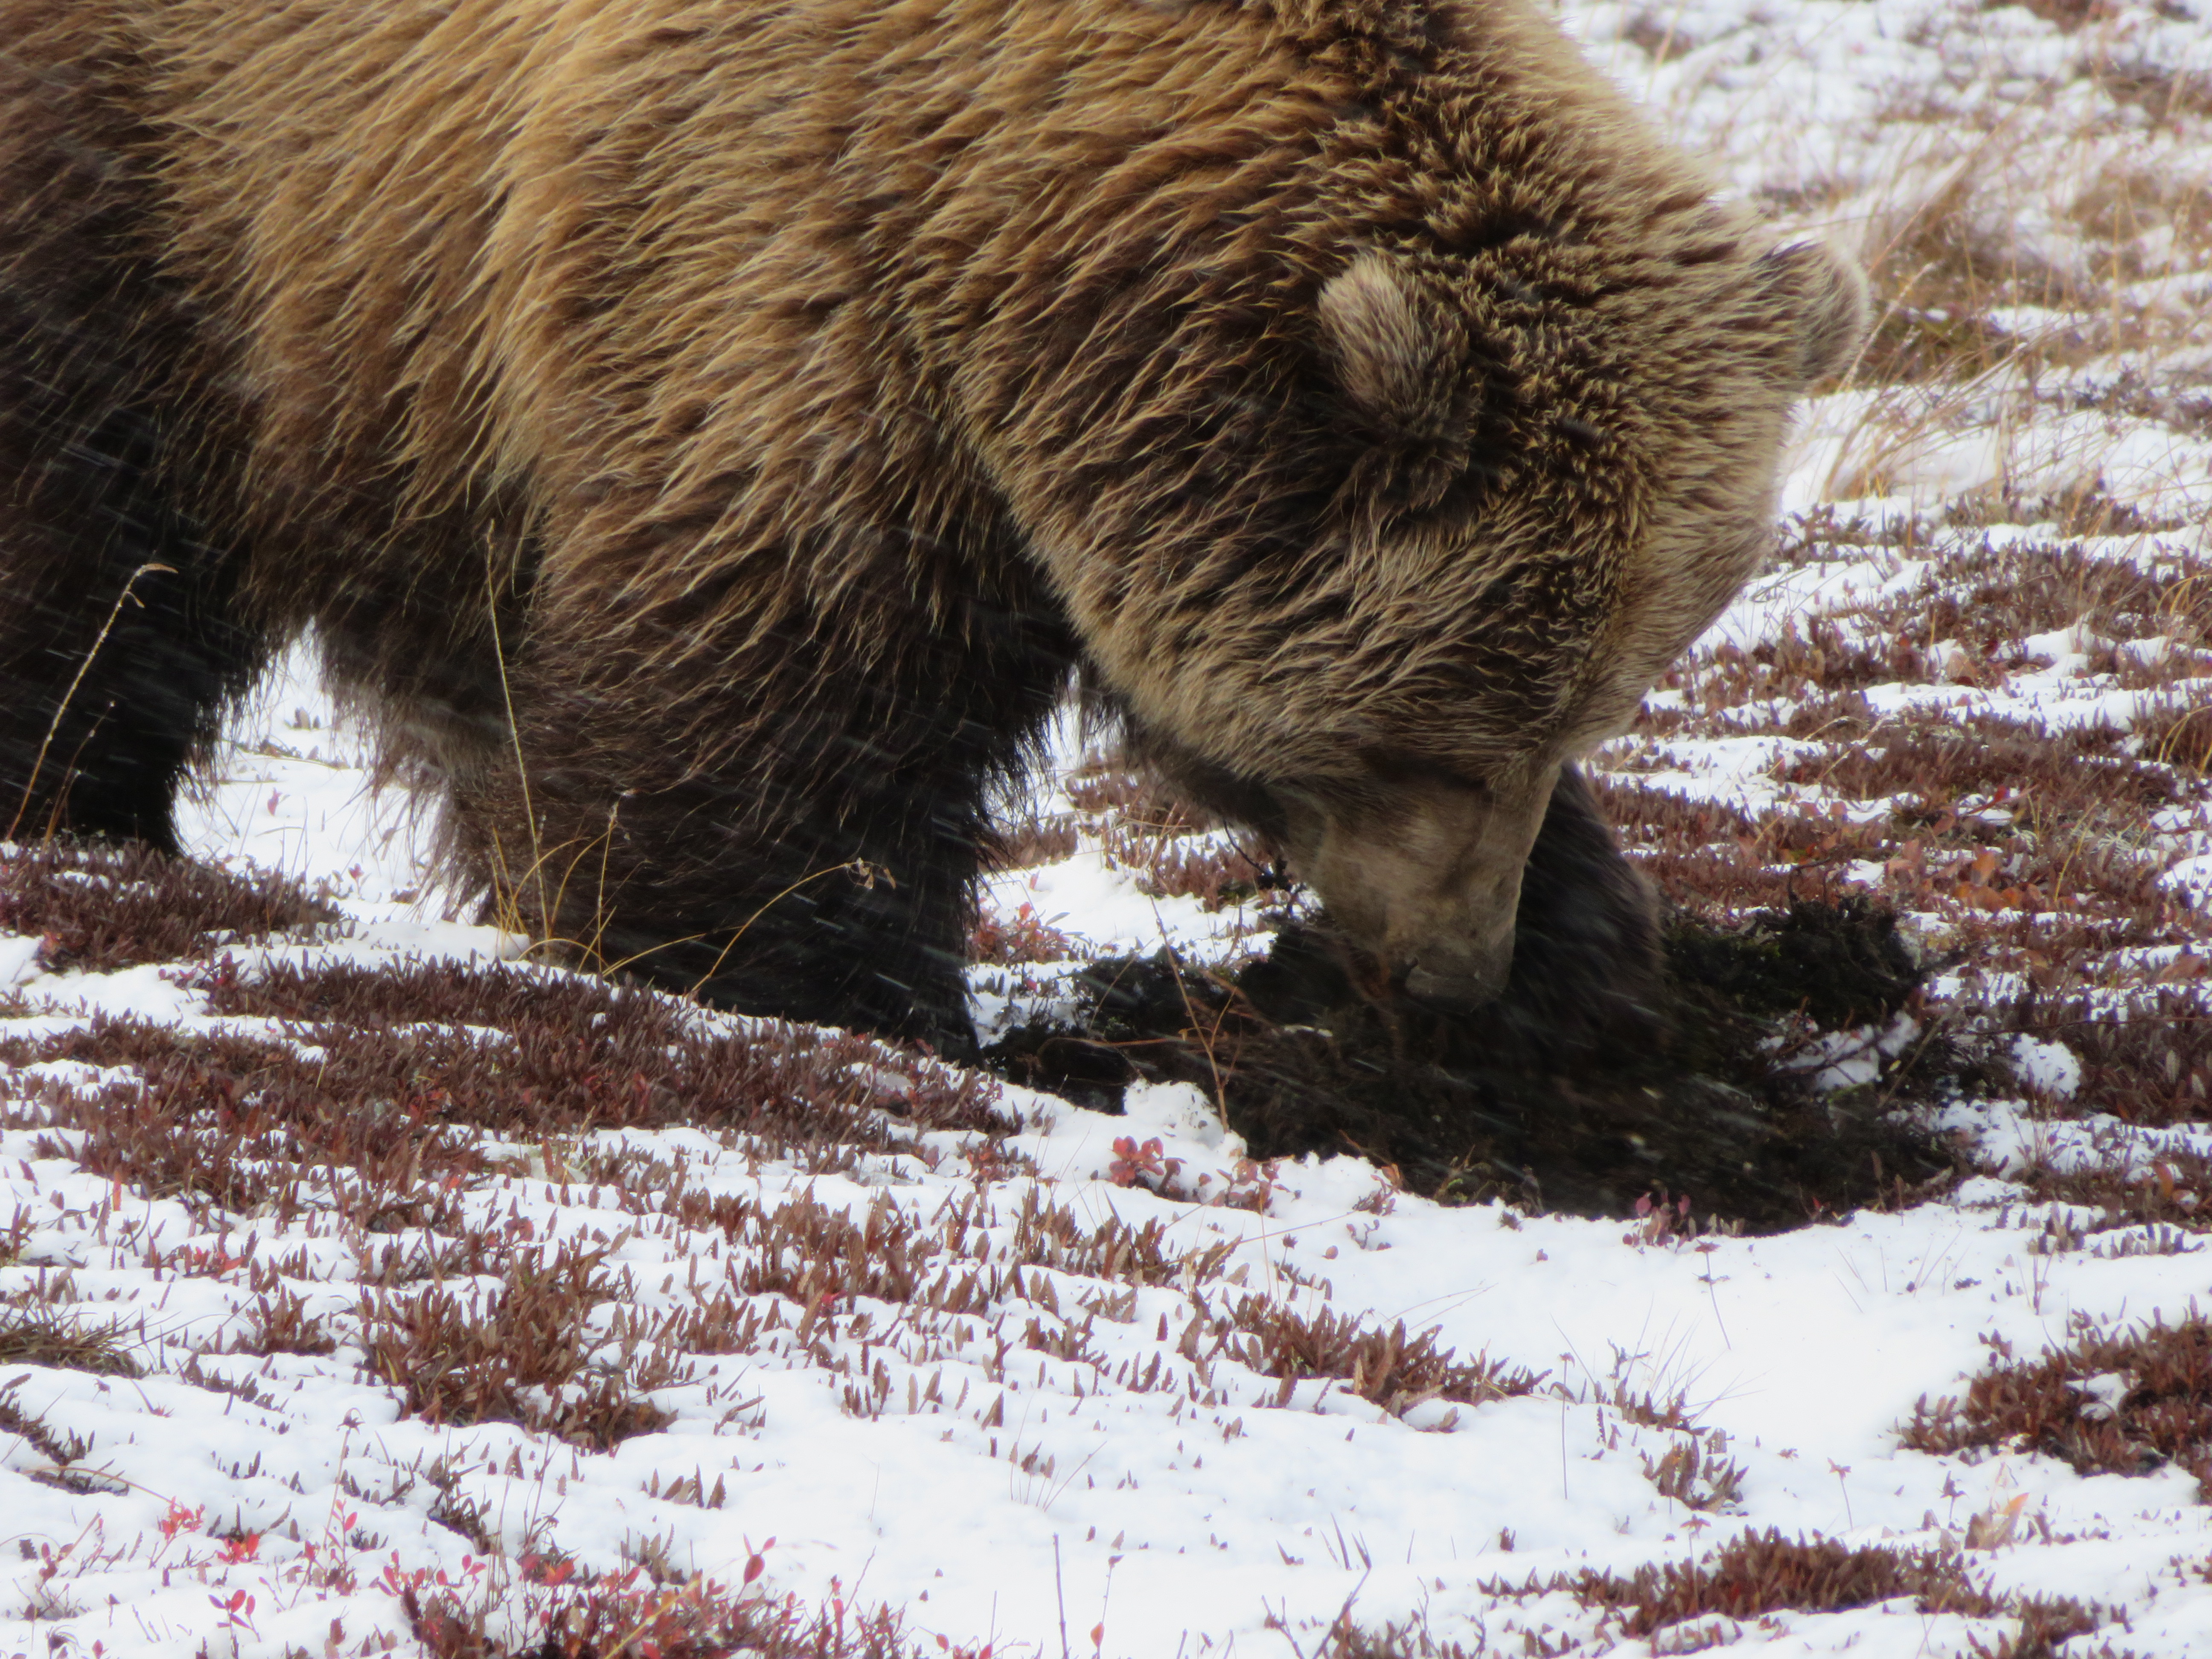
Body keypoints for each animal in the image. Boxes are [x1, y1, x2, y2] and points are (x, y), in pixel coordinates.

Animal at [0, 3, 1867, 1053]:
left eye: (1588, 703)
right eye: (1427, 729)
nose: (1446, 971)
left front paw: (1593, 956)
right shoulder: (789, 299)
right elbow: (766, 712)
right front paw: (796, 975)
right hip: (164, 191)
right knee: (85, 545)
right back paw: (86, 816)